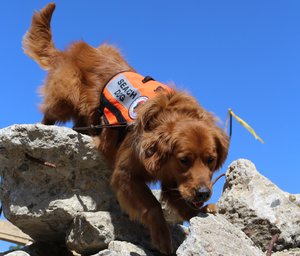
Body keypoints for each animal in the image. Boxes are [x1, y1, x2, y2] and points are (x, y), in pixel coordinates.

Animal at [24, 3, 230, 254]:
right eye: (184, 160)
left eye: (210, 160)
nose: (204, 193)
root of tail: (69, 52)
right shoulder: (126, 173)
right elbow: (153, 205)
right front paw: (162, 237)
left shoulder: (173, 178)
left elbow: (180, 199)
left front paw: (197, 210)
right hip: (64, 96)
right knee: (49, 114)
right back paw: (42, 130)